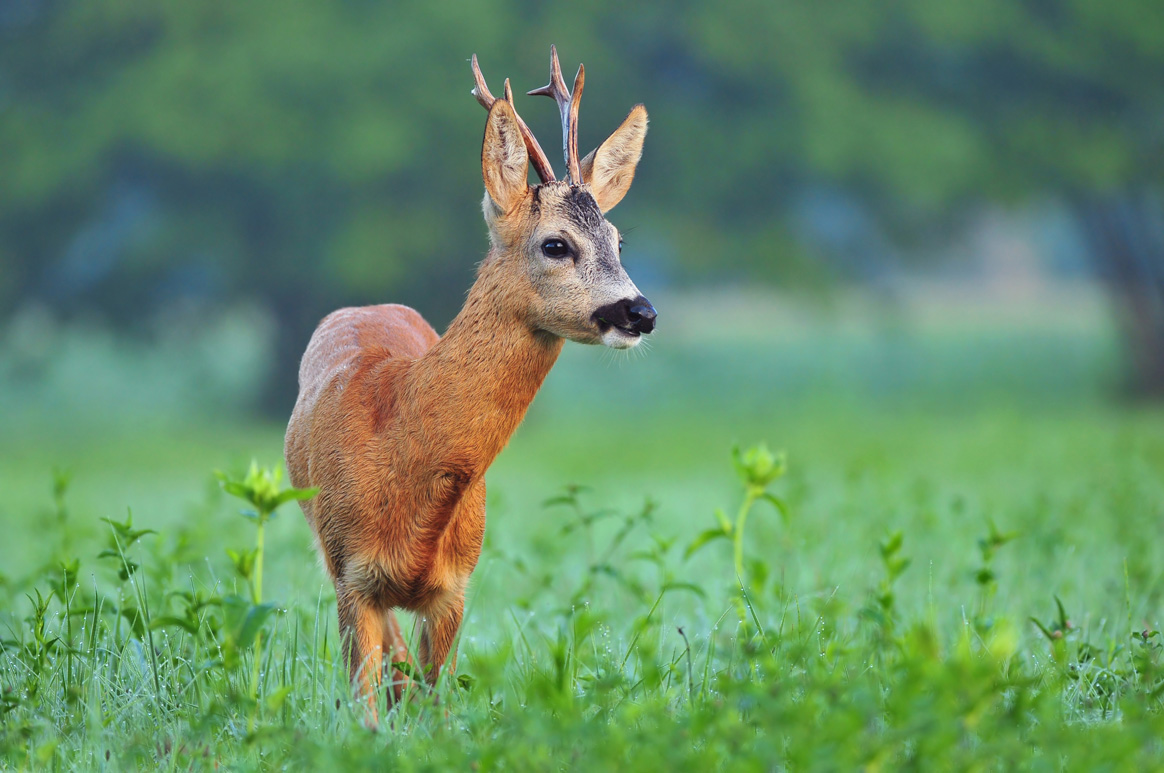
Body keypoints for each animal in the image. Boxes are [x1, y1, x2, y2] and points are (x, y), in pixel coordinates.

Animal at [282, 48, 656, 721]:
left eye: (618, 239)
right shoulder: (350, 575)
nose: (641, 312)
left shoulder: (457, 585)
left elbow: (439, 707)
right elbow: (365, 705)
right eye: (556, 244)